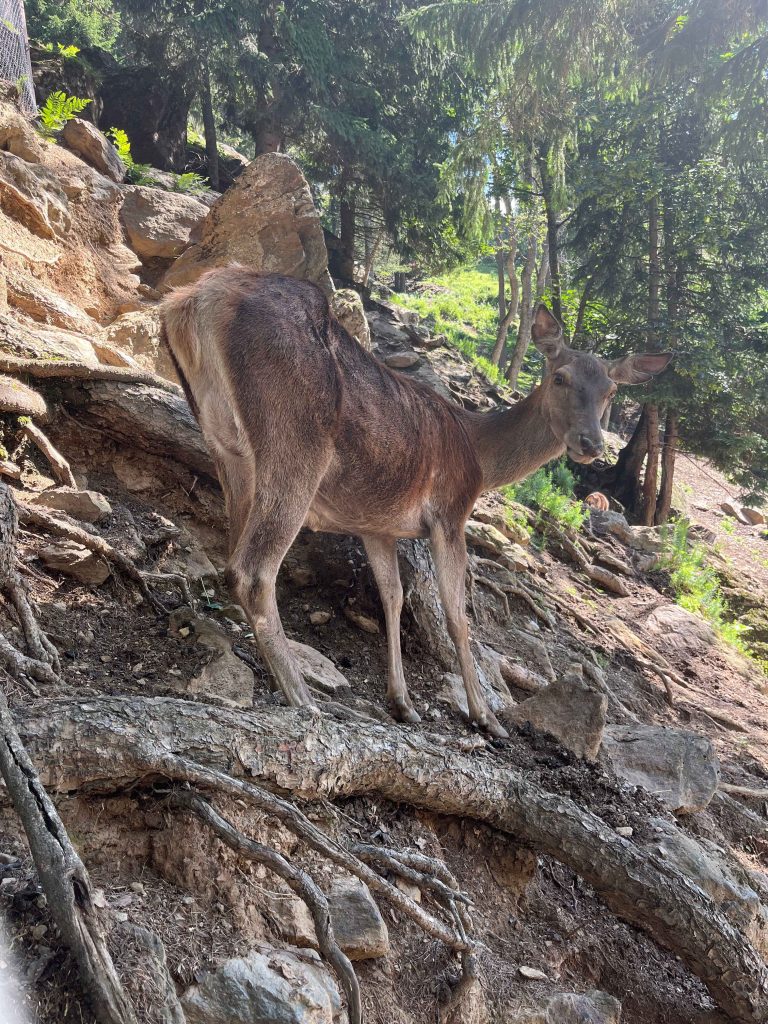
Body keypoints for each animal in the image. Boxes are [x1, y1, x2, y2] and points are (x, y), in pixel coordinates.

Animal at [162, 266, 671, 737]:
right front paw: (487, 717)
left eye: (610, 391)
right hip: (296, 438)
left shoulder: (376, 524)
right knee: (252, 570)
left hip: (225, 446)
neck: (480, 456)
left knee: (232, 557)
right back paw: (305, 699)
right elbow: (457, 616)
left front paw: (403, 702)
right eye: (561, 377)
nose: (590, 443)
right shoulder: (450, 513)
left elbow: (393, 596)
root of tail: (196, 300)